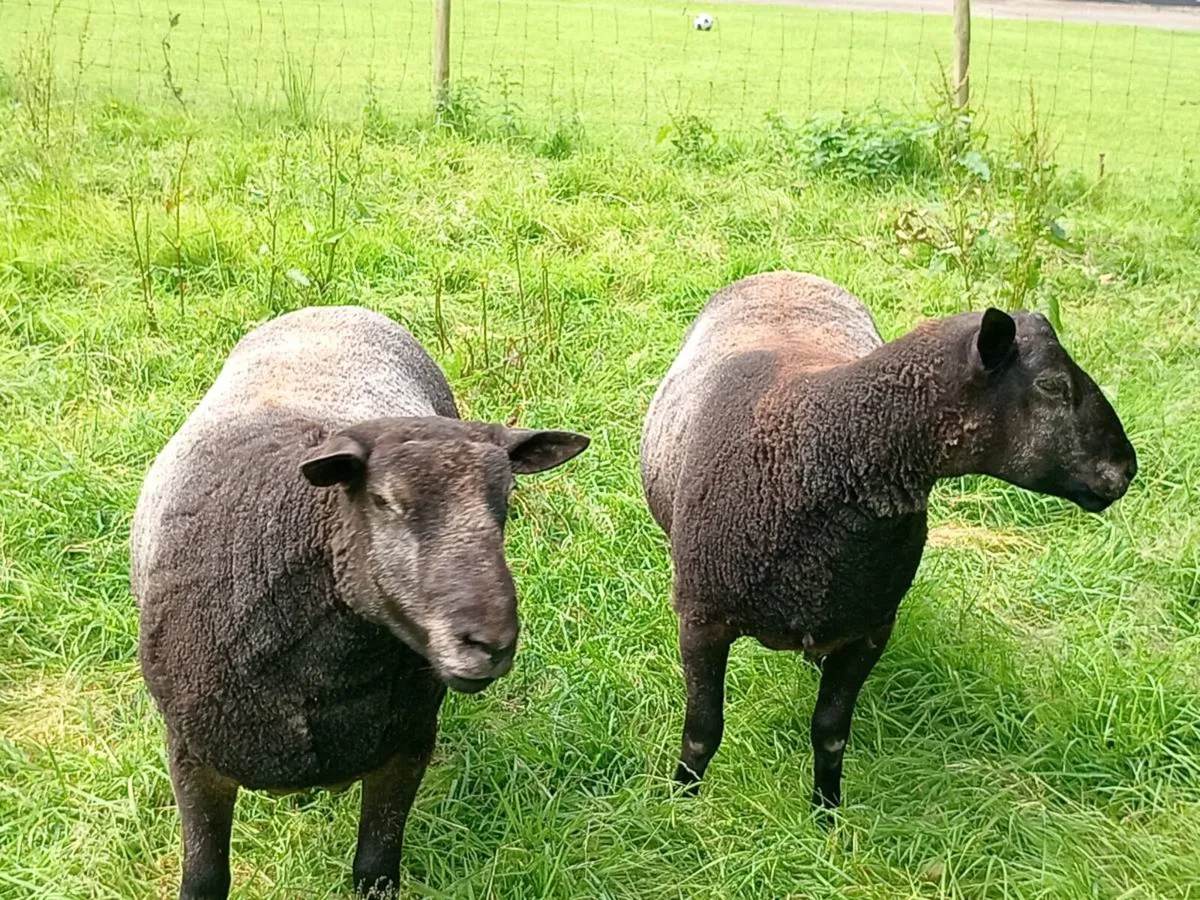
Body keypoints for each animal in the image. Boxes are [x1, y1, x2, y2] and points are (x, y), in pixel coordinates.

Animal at [131, 305, 589, 899]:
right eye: (385, 501)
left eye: (505, 501)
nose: (491, 643)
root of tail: (333, 308)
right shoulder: (192, 758)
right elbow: (205, 879)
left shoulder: (406, 748)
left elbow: (375, 870)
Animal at [640, 271, 1137, 815]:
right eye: (1051, 385)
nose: (1126, 468)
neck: (818, 453)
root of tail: (785, 273)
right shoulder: (700, 619)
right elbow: (702, 732)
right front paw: (679, 808)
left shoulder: (872, 628)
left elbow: (830, 732)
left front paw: (826, 815)